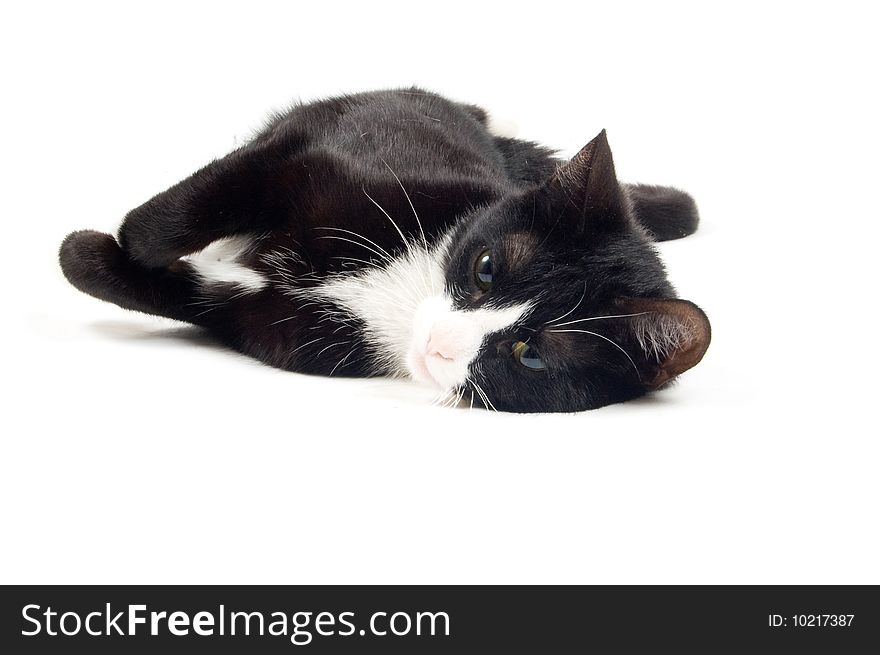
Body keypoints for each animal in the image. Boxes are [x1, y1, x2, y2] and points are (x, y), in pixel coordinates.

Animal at [60, 88, 708, 412]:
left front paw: (92, 253)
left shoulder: (273, 325)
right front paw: (130, 238)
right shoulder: (314, 151)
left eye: (530, 355)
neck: (403, 293)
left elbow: (190, 296)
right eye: (487, 268)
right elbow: (208, 197)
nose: (441, 341)